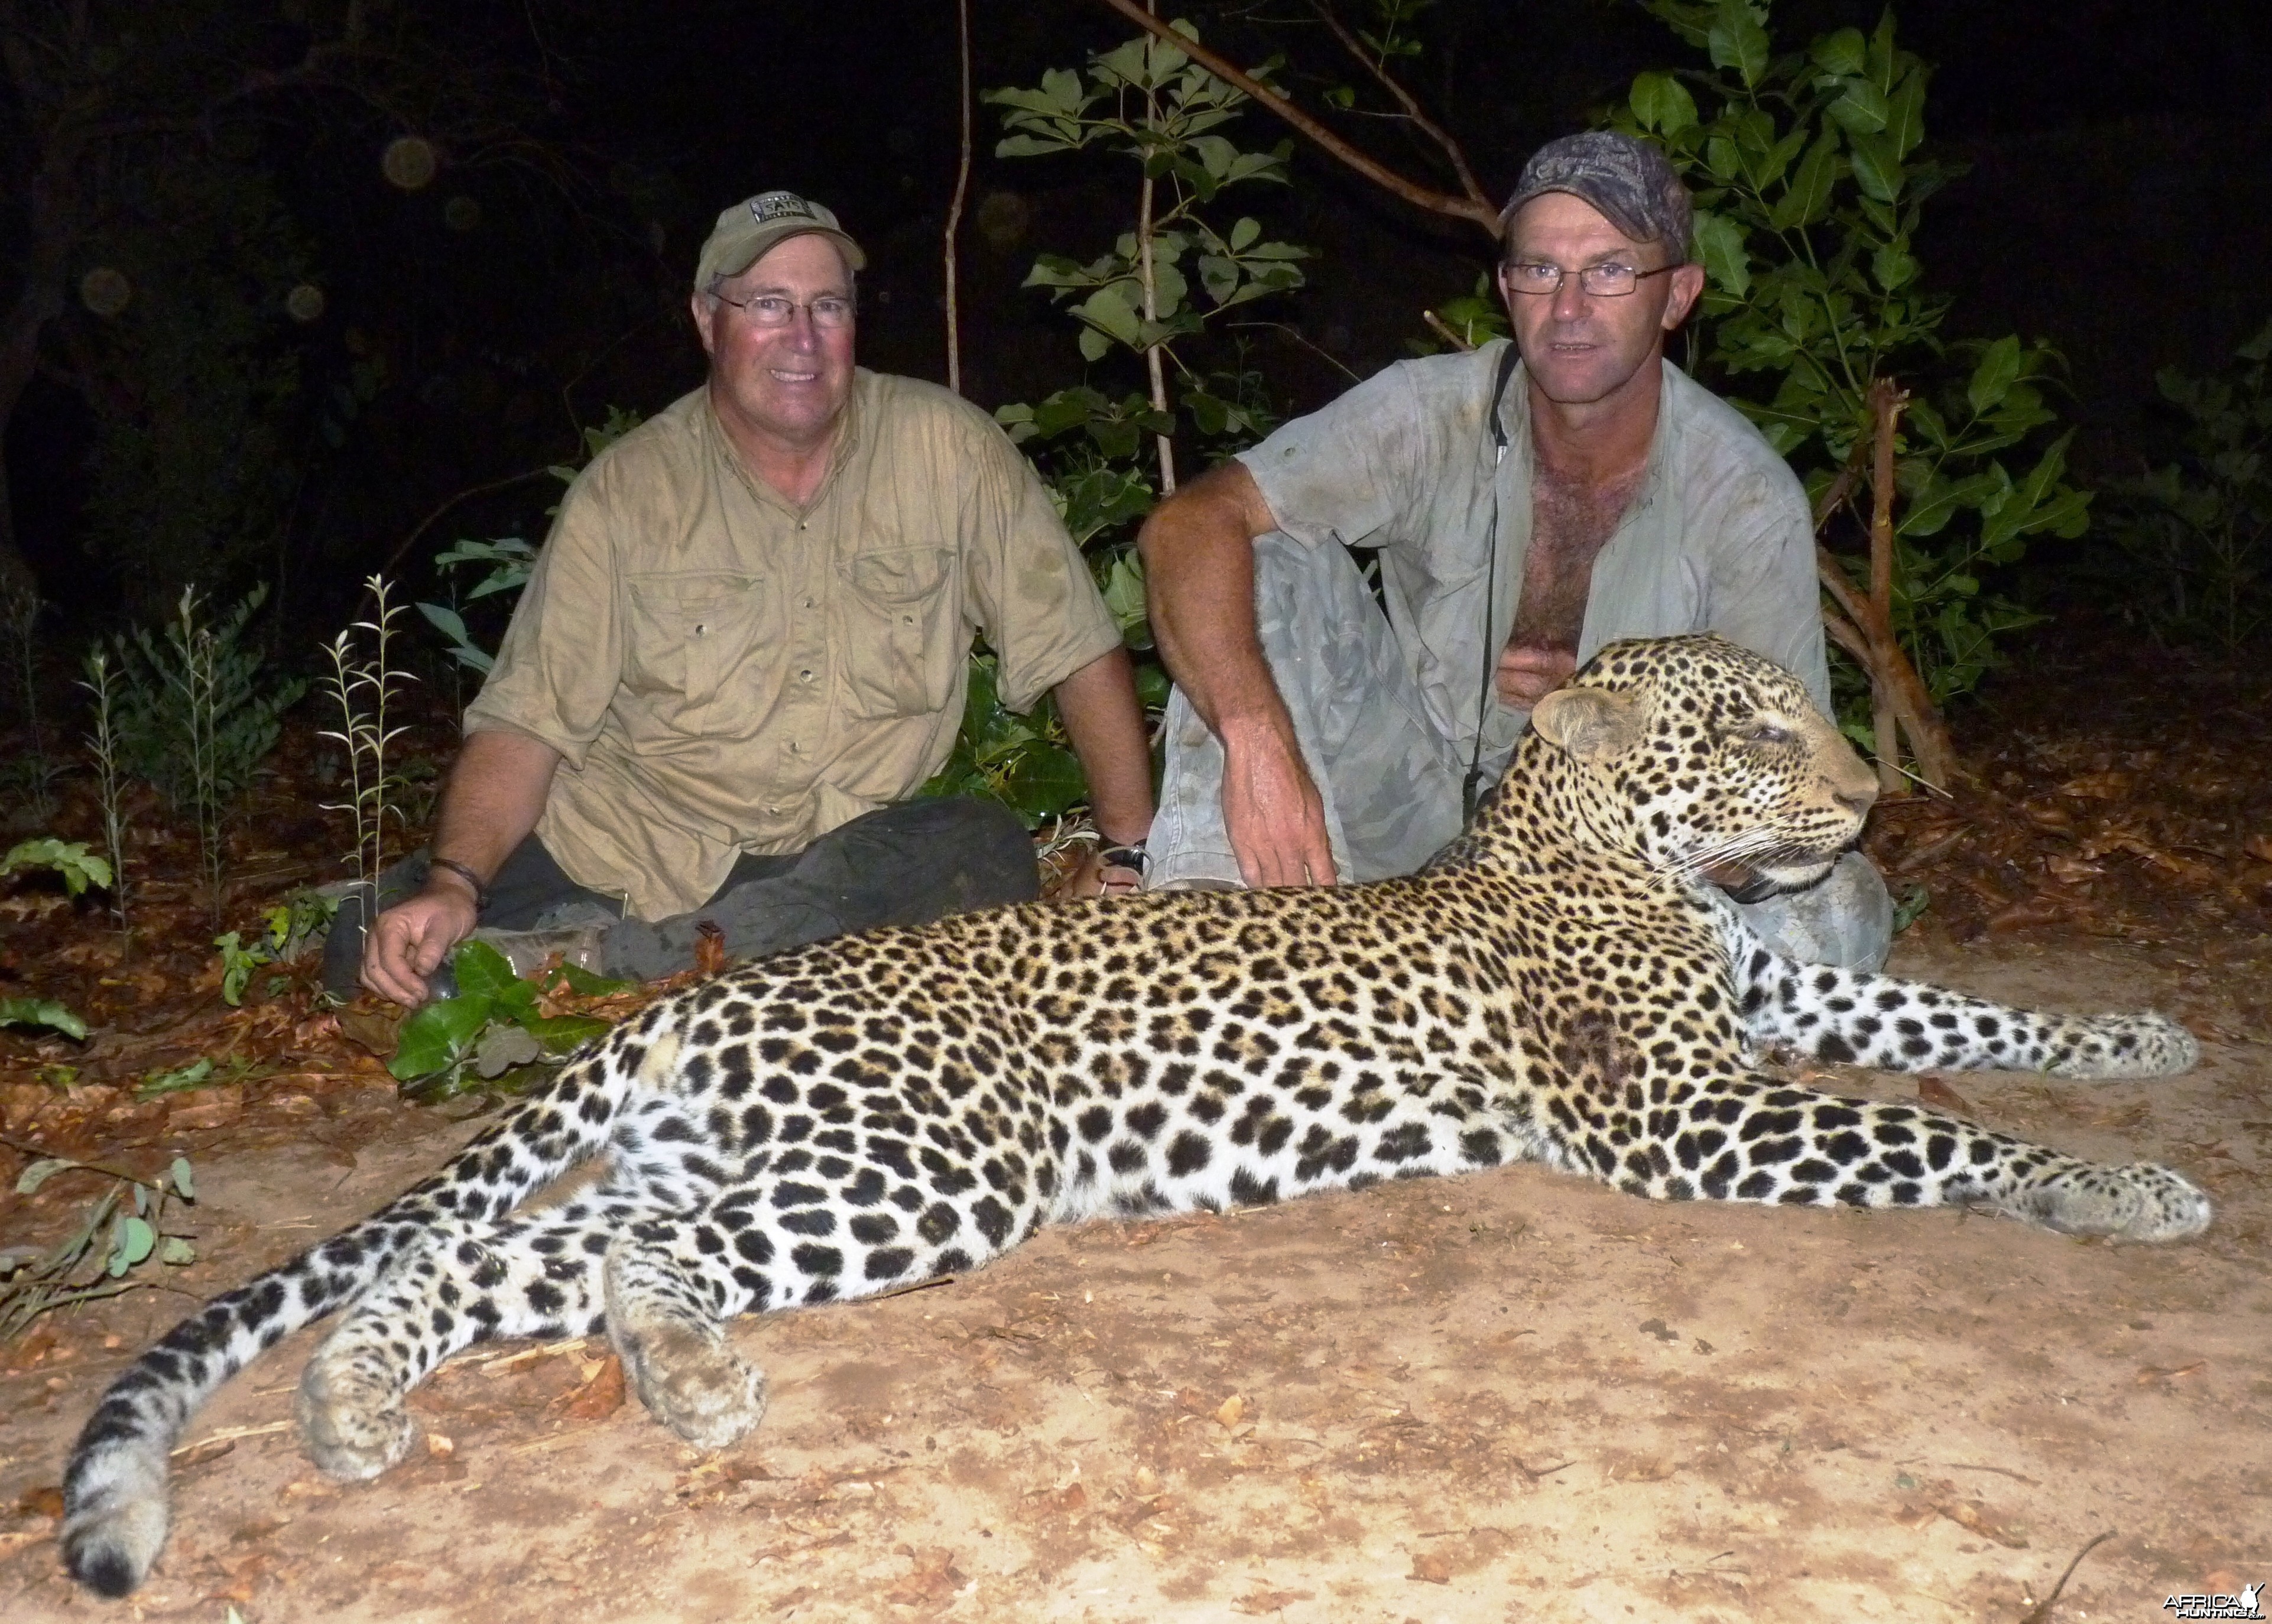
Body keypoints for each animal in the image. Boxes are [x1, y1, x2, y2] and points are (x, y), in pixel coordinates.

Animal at [62, 636, 2208, 1599]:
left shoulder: (1780, 1006)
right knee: (622, 1254)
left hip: (760, 1158)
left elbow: (1959, 1015)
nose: (1861, 795)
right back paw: (659, 1373)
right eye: (1752, 726)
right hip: (927, 1163)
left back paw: (358, 1401)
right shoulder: (1691, 1111)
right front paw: (2124, 1189)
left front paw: (2143, 1037)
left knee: (489, 1255)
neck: (1630, 870)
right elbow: (1928, 1124)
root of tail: (697, 992)